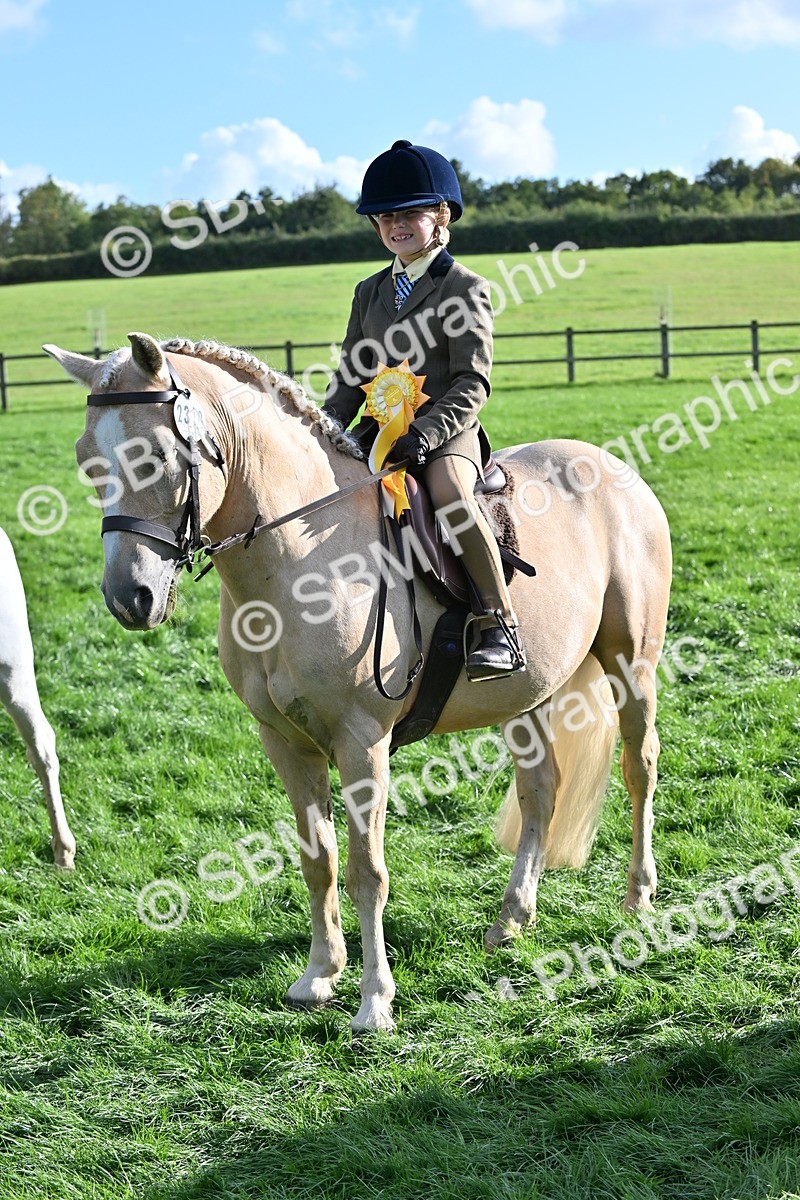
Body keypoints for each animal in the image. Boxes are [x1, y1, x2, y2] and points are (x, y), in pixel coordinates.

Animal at [45, 332, 672, 1032]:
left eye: (155, 455)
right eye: (87, 460)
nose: (131, 598)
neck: (297, 562)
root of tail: (615, 467)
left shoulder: (361, 740)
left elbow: (366, 870)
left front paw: (375, 1002)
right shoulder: (285, 742)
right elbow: (317, 861)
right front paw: (319, 976)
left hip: (632, 665)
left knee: (639, 768)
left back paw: (637, 899)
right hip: (528, 692)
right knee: (541, 791)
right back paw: (511, 921)